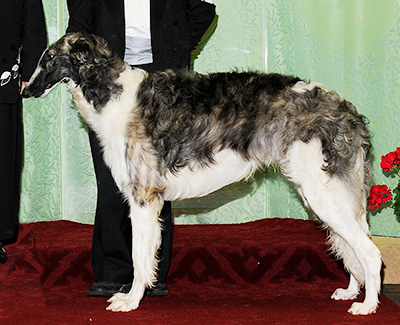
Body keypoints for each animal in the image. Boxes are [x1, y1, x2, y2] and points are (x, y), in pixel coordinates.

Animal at [22, 33, 382, 314]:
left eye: (49, 58)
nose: (25, 90)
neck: (114, 94)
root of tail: (348, 110)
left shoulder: (143, 197)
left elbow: (139, 258)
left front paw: (131, 301)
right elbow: (146, 257)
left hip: (322, 194)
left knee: (370, 252)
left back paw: (367, 305)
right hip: (330, 196)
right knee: (353, 247)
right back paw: (352, 291)